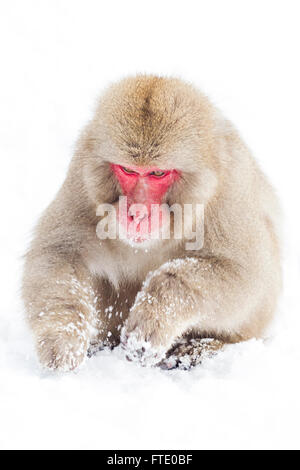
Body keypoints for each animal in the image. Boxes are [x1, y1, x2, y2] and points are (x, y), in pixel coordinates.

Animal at [22, 76, 282, 370]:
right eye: (128, 170)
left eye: (157, 173)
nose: (137, 213)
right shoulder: (82, 176)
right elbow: (59, 252)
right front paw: (63, 336)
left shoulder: (229, 186)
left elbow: (247, 274)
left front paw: (155, 315)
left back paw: (204, 347)